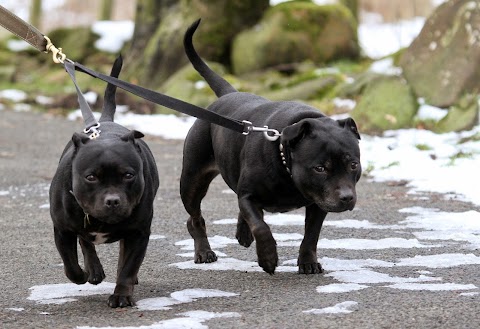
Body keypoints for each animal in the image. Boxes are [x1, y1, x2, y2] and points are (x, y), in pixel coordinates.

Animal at [50, 55, 160, 304]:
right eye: (91, 177)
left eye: (128, 175)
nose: (112, 201)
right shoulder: (62, 230)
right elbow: (70, 265)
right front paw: (82, 274)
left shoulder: (139, 232)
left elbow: (129, 266)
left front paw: (121, 295)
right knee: (85, 243)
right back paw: (93, 271)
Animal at [182, 20, 362, 274]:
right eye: (320, 168)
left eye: (353, 164)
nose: (346, 197)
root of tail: (227, 95)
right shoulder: (249, 195)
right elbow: (261, 226)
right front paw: (267, 257)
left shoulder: (318, 204)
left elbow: (311, 235)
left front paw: (308, 262)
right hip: (192, 180)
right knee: (195, 217)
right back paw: (203, 251)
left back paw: (242, 234)